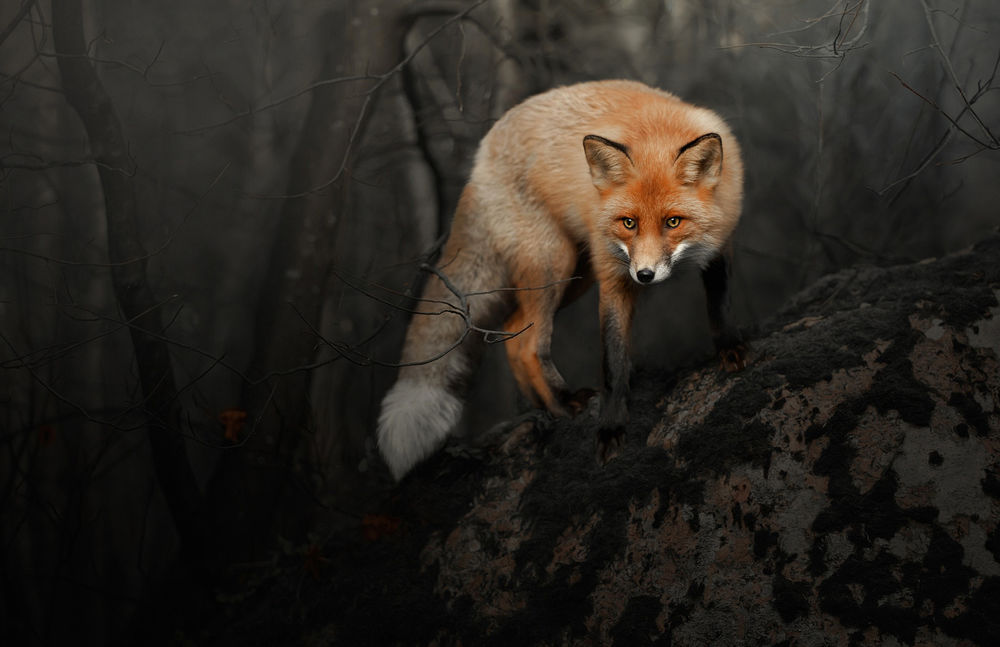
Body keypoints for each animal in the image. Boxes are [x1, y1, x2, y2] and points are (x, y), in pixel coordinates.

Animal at [377, 79, 746, 480]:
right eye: (629, 223)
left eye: (673, 222)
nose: (645, 275)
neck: (657, 130)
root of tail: (482, 156)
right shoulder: (613, 275)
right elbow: (614, 361)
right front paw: (611, 428)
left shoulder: (720, 243)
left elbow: (720, 304)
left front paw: (730, 349)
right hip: (553, 265)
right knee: (528, 343)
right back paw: (564, 403)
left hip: (574, 275)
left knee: (513, 331)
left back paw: (546, 410)